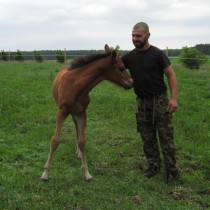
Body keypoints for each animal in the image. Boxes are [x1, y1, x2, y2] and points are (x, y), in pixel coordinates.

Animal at [40, 44, 133, 180]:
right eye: (121, 68)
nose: (131, 83)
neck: (76, 86)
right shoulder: (61, 112)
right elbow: (55, 140)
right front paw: (45, 173)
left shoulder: (82, 113)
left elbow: (82, 141)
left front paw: (86, 173)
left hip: (76, 113)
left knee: (77, 129)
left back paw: (79, 153)